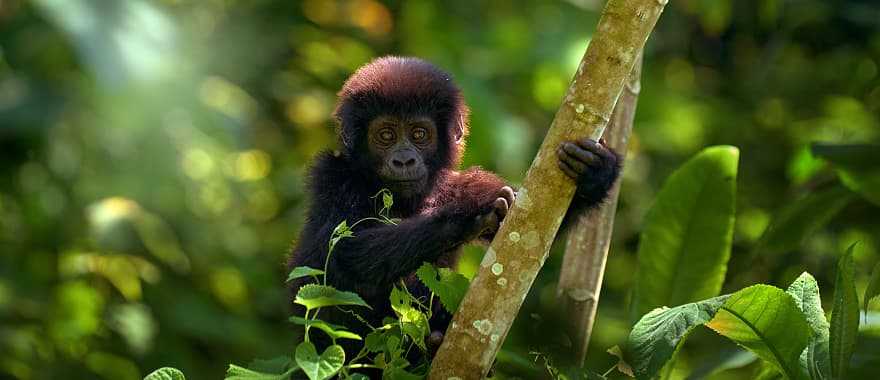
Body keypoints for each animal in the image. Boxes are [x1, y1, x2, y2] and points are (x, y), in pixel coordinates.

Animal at [288, 56, 620, 362]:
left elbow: (532, 226)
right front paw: (464, 216)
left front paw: (596, 173)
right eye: (386, 135)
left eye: (419, 134)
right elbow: (344, 249)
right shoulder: (331, 175)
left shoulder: (462, 182)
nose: (404, 160)